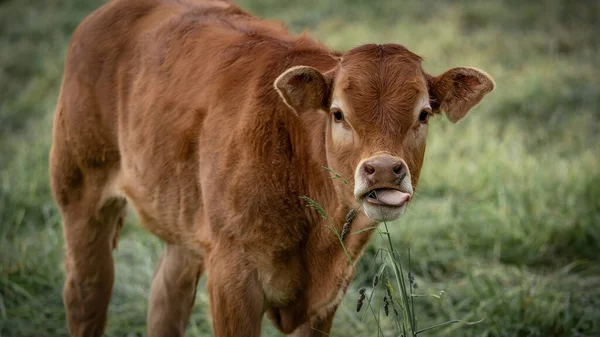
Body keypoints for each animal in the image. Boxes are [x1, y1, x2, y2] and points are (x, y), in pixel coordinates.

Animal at [50, 0, 492, 336]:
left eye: (423, 114)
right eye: (338, 114)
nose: (383, 170)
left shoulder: (326, 296)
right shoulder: (232, 277)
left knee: (165, 298)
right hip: (80, 193)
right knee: (86, 294)